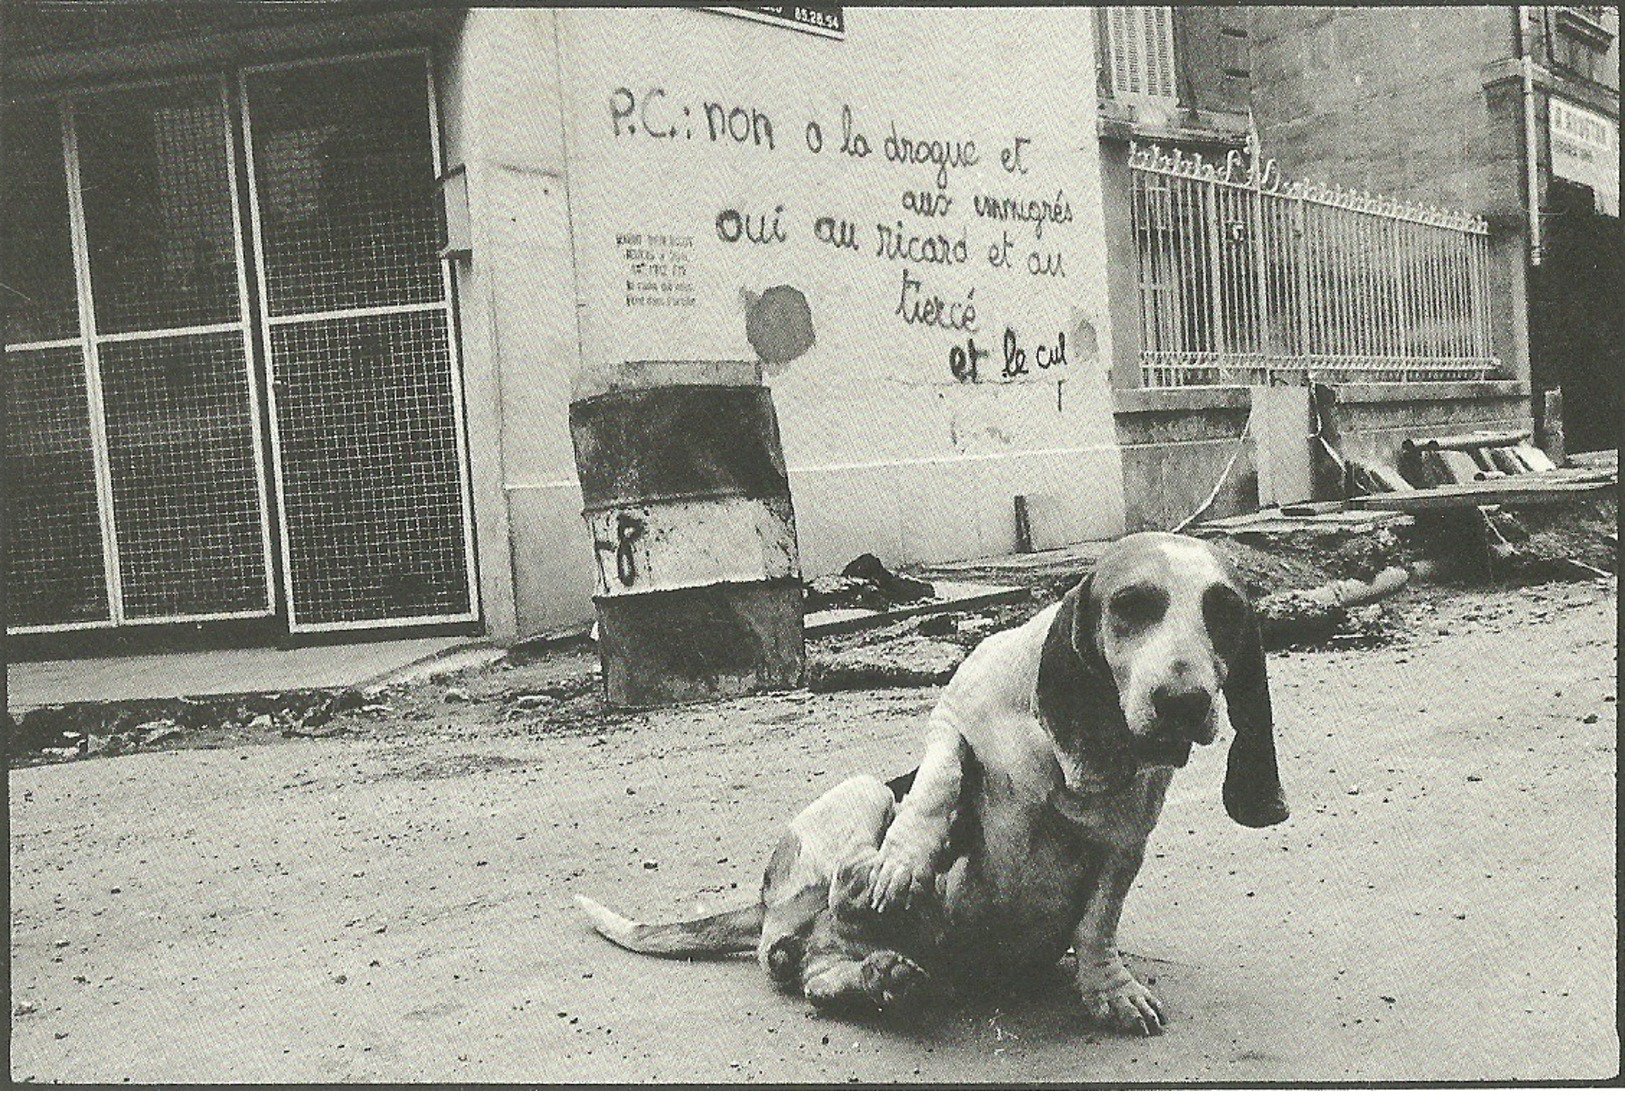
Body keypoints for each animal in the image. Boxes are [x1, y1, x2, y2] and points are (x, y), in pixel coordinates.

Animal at [578, 532, 1287, 1026]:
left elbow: (1097, 925)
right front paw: (905, 862)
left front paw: (1110, 992)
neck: (1062, 751)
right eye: (1132, 606)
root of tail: (762, 904)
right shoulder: (952, 720)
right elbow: (939, 785)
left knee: (817, 968)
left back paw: (881, 976)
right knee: (801, 934)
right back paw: (869, 890)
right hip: (862, 793)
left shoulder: (1123, 849)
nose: (1184, 703)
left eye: (1225, 614)